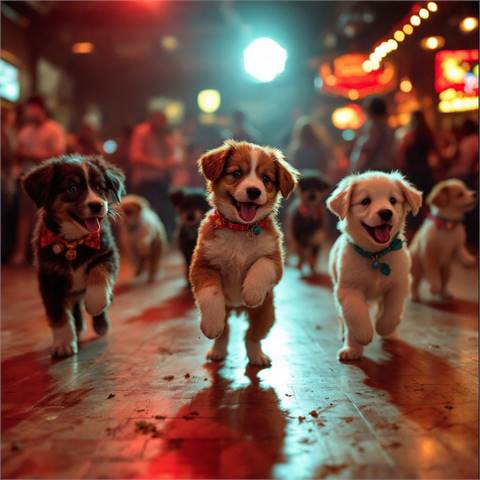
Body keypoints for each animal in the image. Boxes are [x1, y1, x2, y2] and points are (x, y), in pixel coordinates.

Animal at [22, 154, 124, 356]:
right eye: (72, 188)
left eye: (100, 188)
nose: (98, 205)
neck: (73, 243)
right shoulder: (49, 278)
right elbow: (58, 313)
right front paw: (63, 343)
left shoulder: (108, 254)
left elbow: (98, 275)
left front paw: (95, 302)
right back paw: (78, 328)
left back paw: (101, 325)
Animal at [189, 141, 298, 366]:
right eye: (237, 173)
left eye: (266, 179)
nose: (254, 191)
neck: (240, 229)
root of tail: (237, 309)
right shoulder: (201, 264)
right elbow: (211, 293)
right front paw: (211, 324)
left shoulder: (275, 261)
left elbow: (261, 266)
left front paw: (251, 292)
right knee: (225, 332)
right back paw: (217, 350)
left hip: (267, 315)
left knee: (251, 336)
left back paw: (257, 356)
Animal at [328, 172, 422, 360]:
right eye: (365, 201)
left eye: (393, 200)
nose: (386, 213)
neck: (375, 255)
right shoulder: (348, 289)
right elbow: (356, 314)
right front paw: (363, 334)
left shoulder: (400, 284)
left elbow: (392, 310)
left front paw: (384, 327)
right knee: (344, 318)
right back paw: (351, 348)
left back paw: (390, 334)